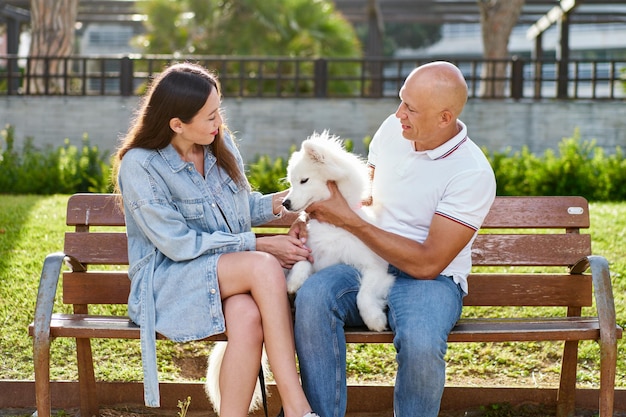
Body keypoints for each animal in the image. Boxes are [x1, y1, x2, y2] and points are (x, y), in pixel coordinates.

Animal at [282, 130, 394, 332]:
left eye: (304, 180)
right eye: (292, 183)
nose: (284, 203)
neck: (331, 226)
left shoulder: (376, 268)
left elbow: (364, 294)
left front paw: (375, 319)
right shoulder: (314, 255)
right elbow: (302, 260)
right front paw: (294, 280)